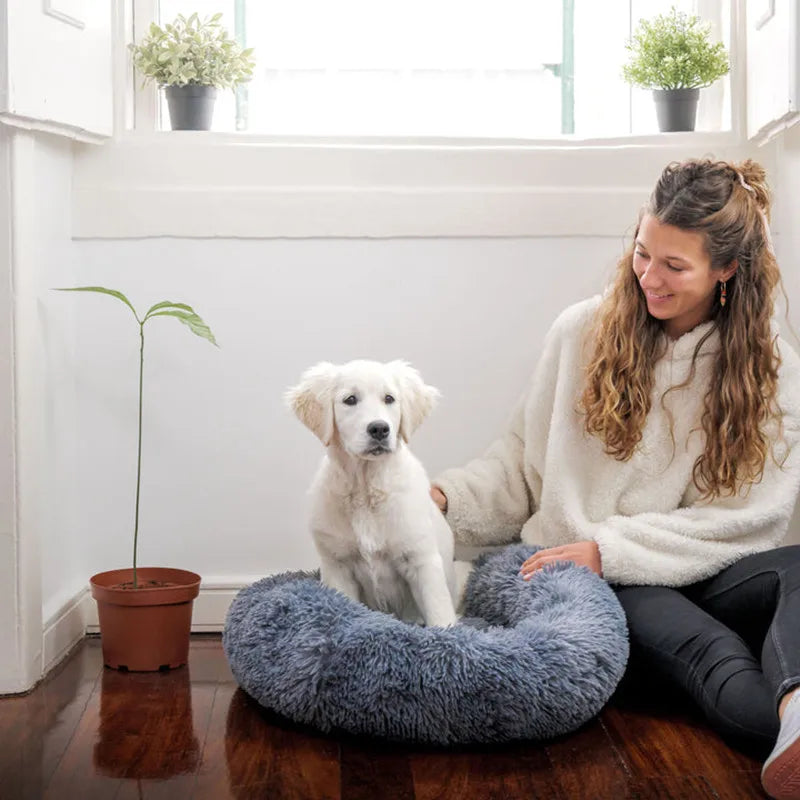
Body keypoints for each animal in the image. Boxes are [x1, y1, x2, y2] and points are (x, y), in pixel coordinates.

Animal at [290, 360, 460, 628]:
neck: (366, 488)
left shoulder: (422, 560)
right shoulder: (337, 565)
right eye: (350, 400)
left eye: (389, 398)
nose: (379, 429)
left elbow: (439, 611)